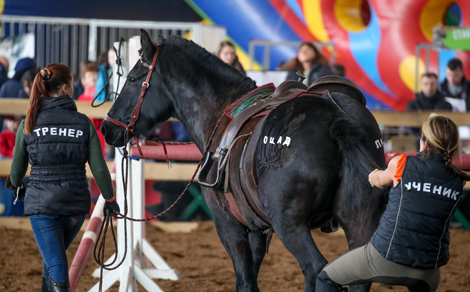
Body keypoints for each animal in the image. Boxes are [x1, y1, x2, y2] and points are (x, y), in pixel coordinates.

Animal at [103, 30, 390, 292]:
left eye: (132, 79)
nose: (107, 127)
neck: (221, 111)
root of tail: (334, 117)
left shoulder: (229, 225)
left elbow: (245, 280)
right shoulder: (257, 230)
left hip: (291, 225)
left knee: (316, 270)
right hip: (359, 221)